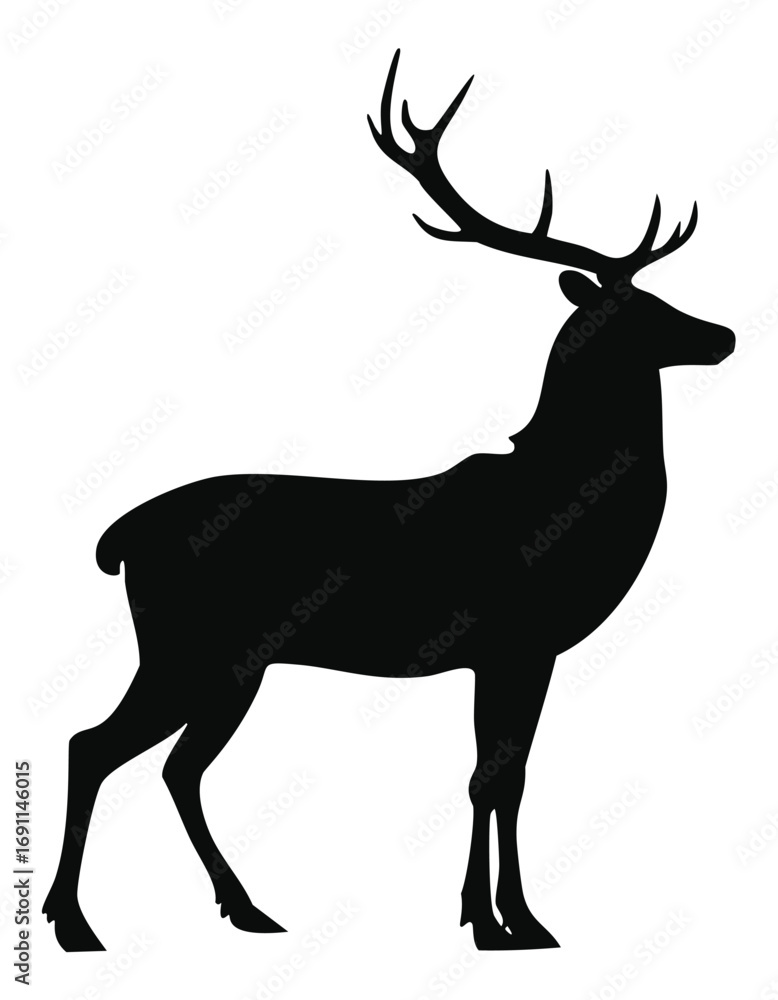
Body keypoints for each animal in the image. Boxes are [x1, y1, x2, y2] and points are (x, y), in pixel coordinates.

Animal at [44, 50, 735, 952]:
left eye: (662, 298)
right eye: (638, 309)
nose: (724, 335)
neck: (568, 505)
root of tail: (117, 537)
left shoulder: (517, 652)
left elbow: (502, 777)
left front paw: (502, 915)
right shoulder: (516, 640)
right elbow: (494, 779)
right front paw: (503, 922)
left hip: (232, 663)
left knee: (171, 764)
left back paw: (246, 908)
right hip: (185, 646)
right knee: (94, 745)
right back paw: (74, 923)